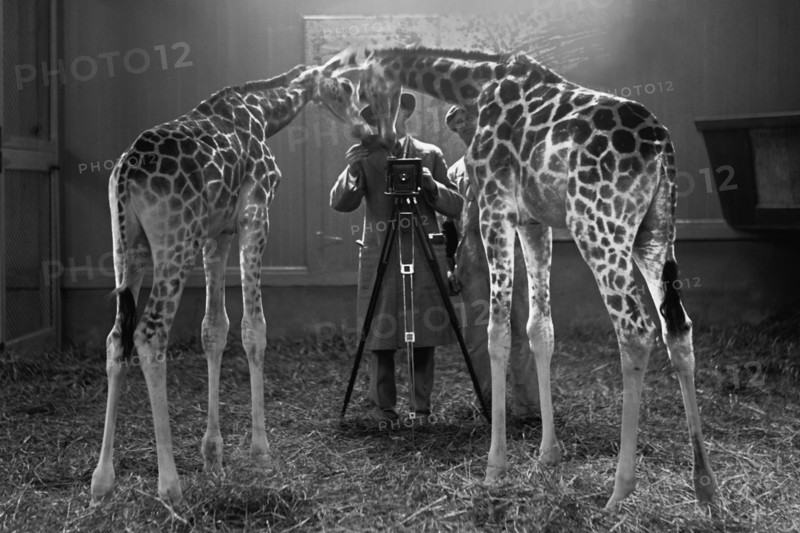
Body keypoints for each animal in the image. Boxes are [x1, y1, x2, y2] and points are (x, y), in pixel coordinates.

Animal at [91, 61, 371, 505]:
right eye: (345, 85)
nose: (364, 126)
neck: (262, 113)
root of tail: (126, 175)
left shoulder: (217, 233)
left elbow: (214, 329)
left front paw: (213, 456)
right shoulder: (254, 213)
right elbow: (254, 328)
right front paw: (261, 453)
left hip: (126, 246)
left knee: (117, 336)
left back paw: (102, 481)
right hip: (174, 242)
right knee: (150, 334)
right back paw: (170, 486)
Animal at [331, 46, 717, 506]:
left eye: (370, 88)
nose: (380, 136)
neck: (475, 83)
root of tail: (662, 148)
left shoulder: (497, 207)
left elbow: (498, 332)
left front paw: (495, 468)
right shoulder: (535, 222)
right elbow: (539, 329)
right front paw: (547, 455)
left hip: (599, 226)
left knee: (636, 329)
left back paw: (620, 491)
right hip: (655, 233)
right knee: (678, 327)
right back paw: (706, 487)